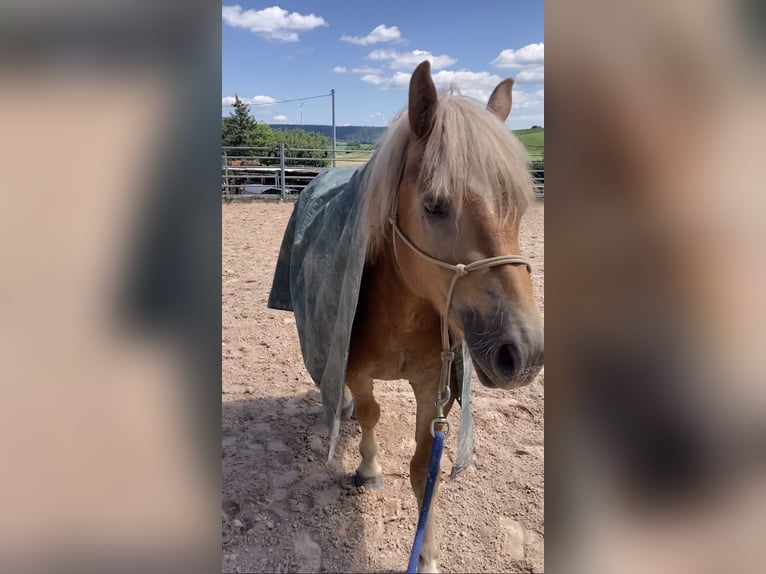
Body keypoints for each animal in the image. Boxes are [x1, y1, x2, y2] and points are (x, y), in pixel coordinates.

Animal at [348, 60, 544, 572]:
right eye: (434, 206)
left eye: (519, 207)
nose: (526, 351)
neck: (398, 315)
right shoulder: (355, 372)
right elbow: (371, 412)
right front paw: (369, 468)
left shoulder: (431, 387)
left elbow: (425, 469)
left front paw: (428, 557)